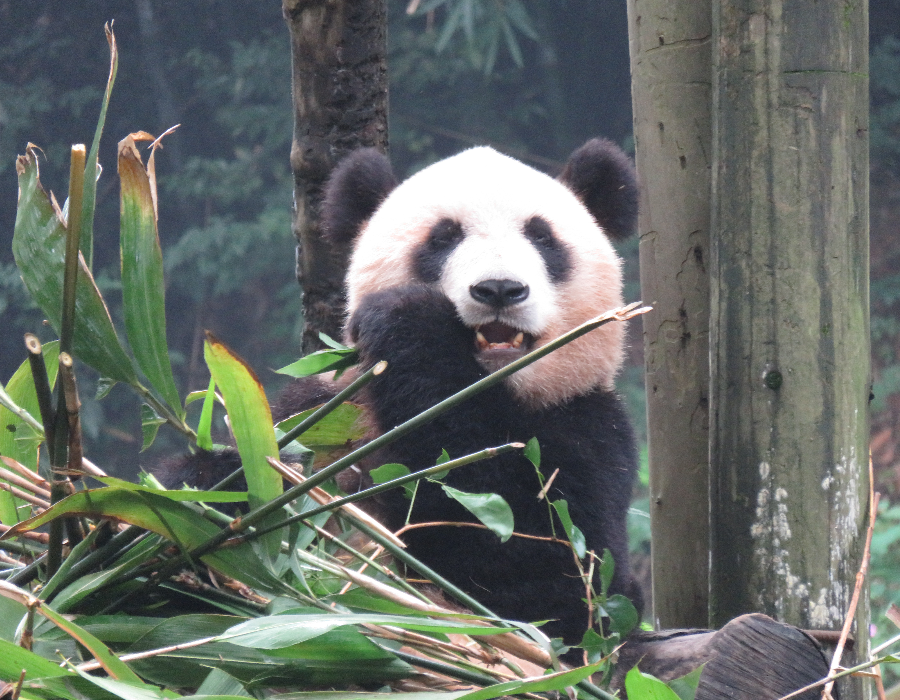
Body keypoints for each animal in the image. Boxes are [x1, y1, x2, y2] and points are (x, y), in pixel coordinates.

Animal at [160, 137, 640, 652]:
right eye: (443, 238)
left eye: (543, 238)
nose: (499, 289)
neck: (491, 390)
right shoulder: (320, 413)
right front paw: (212, 489)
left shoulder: (591, 425)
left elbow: (555, 573)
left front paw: (409, 318)